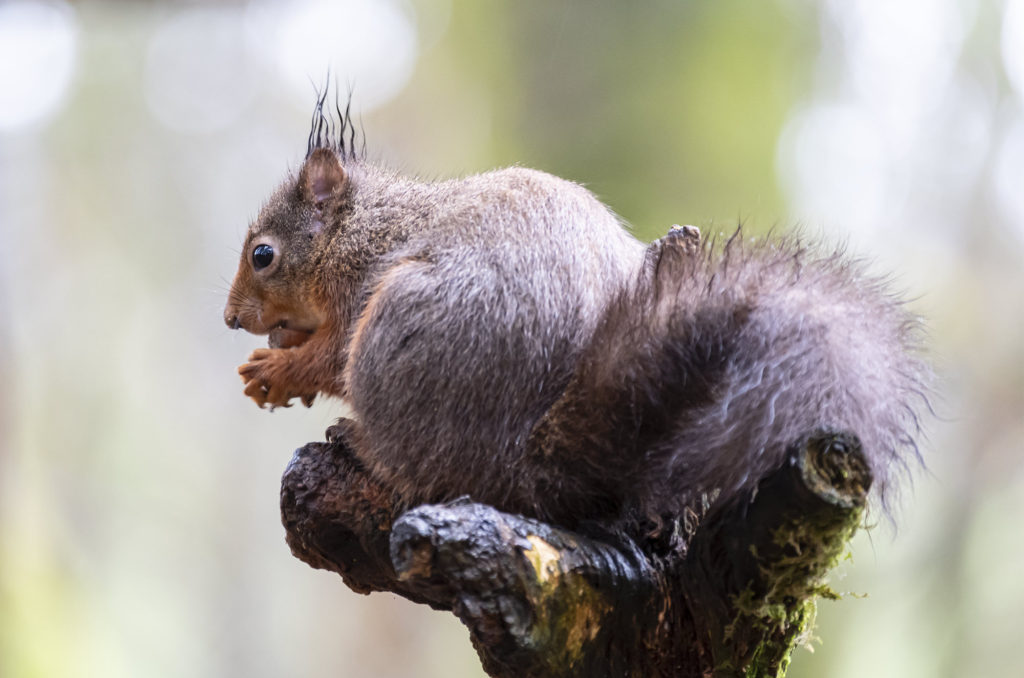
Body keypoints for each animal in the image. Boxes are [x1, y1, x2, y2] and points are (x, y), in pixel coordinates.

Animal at [226, 96, 937, 532]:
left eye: (263, 254)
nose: (233, 320)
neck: (362, 229)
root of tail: (523, 455)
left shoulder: (359, 294)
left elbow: (330, 358)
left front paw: (276, 372)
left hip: (396, 337)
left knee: (422, 469)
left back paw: (362, 442)